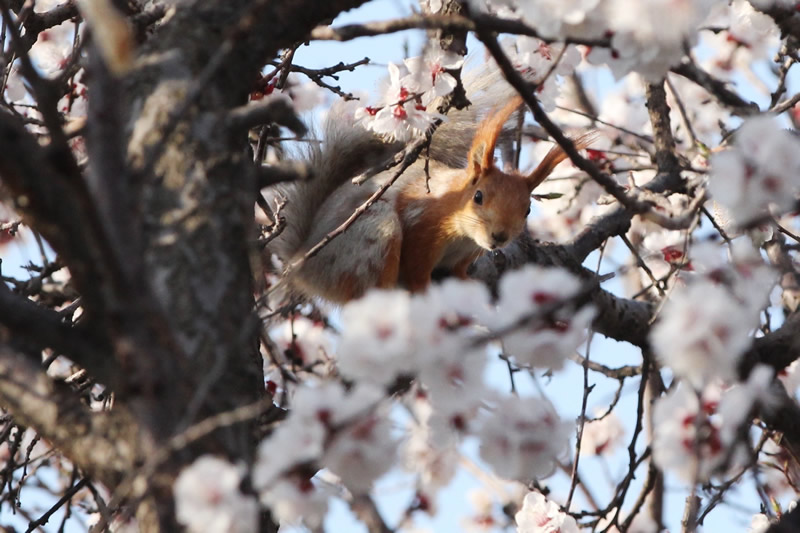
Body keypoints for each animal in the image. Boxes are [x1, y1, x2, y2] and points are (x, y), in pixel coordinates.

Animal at [268, 77, 592, 306]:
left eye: (527, 210)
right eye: (478, 196)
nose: (499, 236)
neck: (463, 236)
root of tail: (303, 265)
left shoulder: (465, 256)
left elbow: (460, 273)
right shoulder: (422, 230)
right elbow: (416, 270)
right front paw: (424, 292)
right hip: (368, 240)